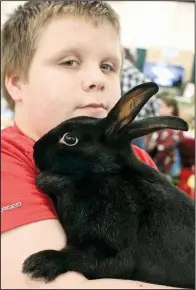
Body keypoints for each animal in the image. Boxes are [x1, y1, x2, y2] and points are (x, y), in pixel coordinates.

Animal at [22, 82, 194, 288]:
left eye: (70, 139)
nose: (35, 148)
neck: (106, 175)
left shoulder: (113, 250)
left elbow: (79, 258)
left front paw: (37, 264)